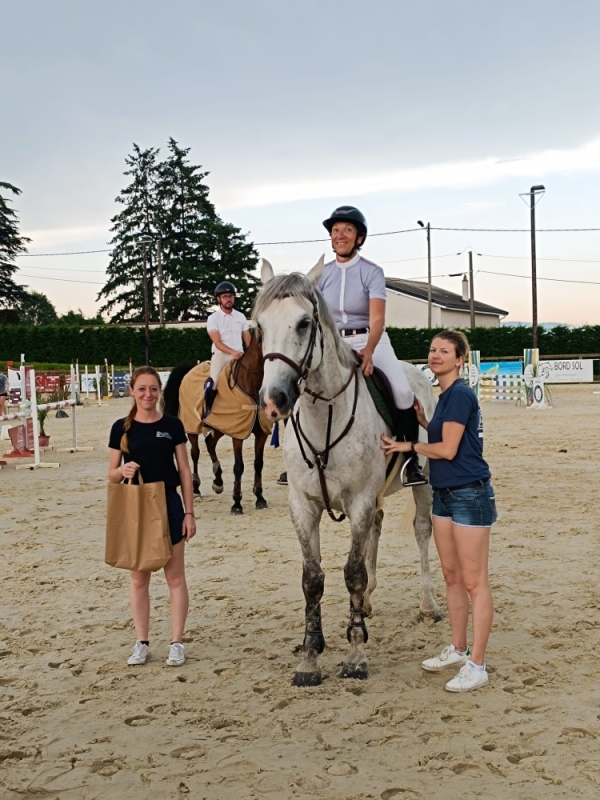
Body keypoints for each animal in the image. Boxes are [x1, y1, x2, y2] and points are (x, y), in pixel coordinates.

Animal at [162, 330, 270, 512]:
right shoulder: (237, 435)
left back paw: (218, 482)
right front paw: (236, 503)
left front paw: (260, 498)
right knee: (195, 452)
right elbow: (238, 467)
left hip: (219, 427)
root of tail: (190, 369)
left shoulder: (261, 433)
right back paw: (196, 487)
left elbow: (259, 464)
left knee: (210, 443)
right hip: (192, 427)